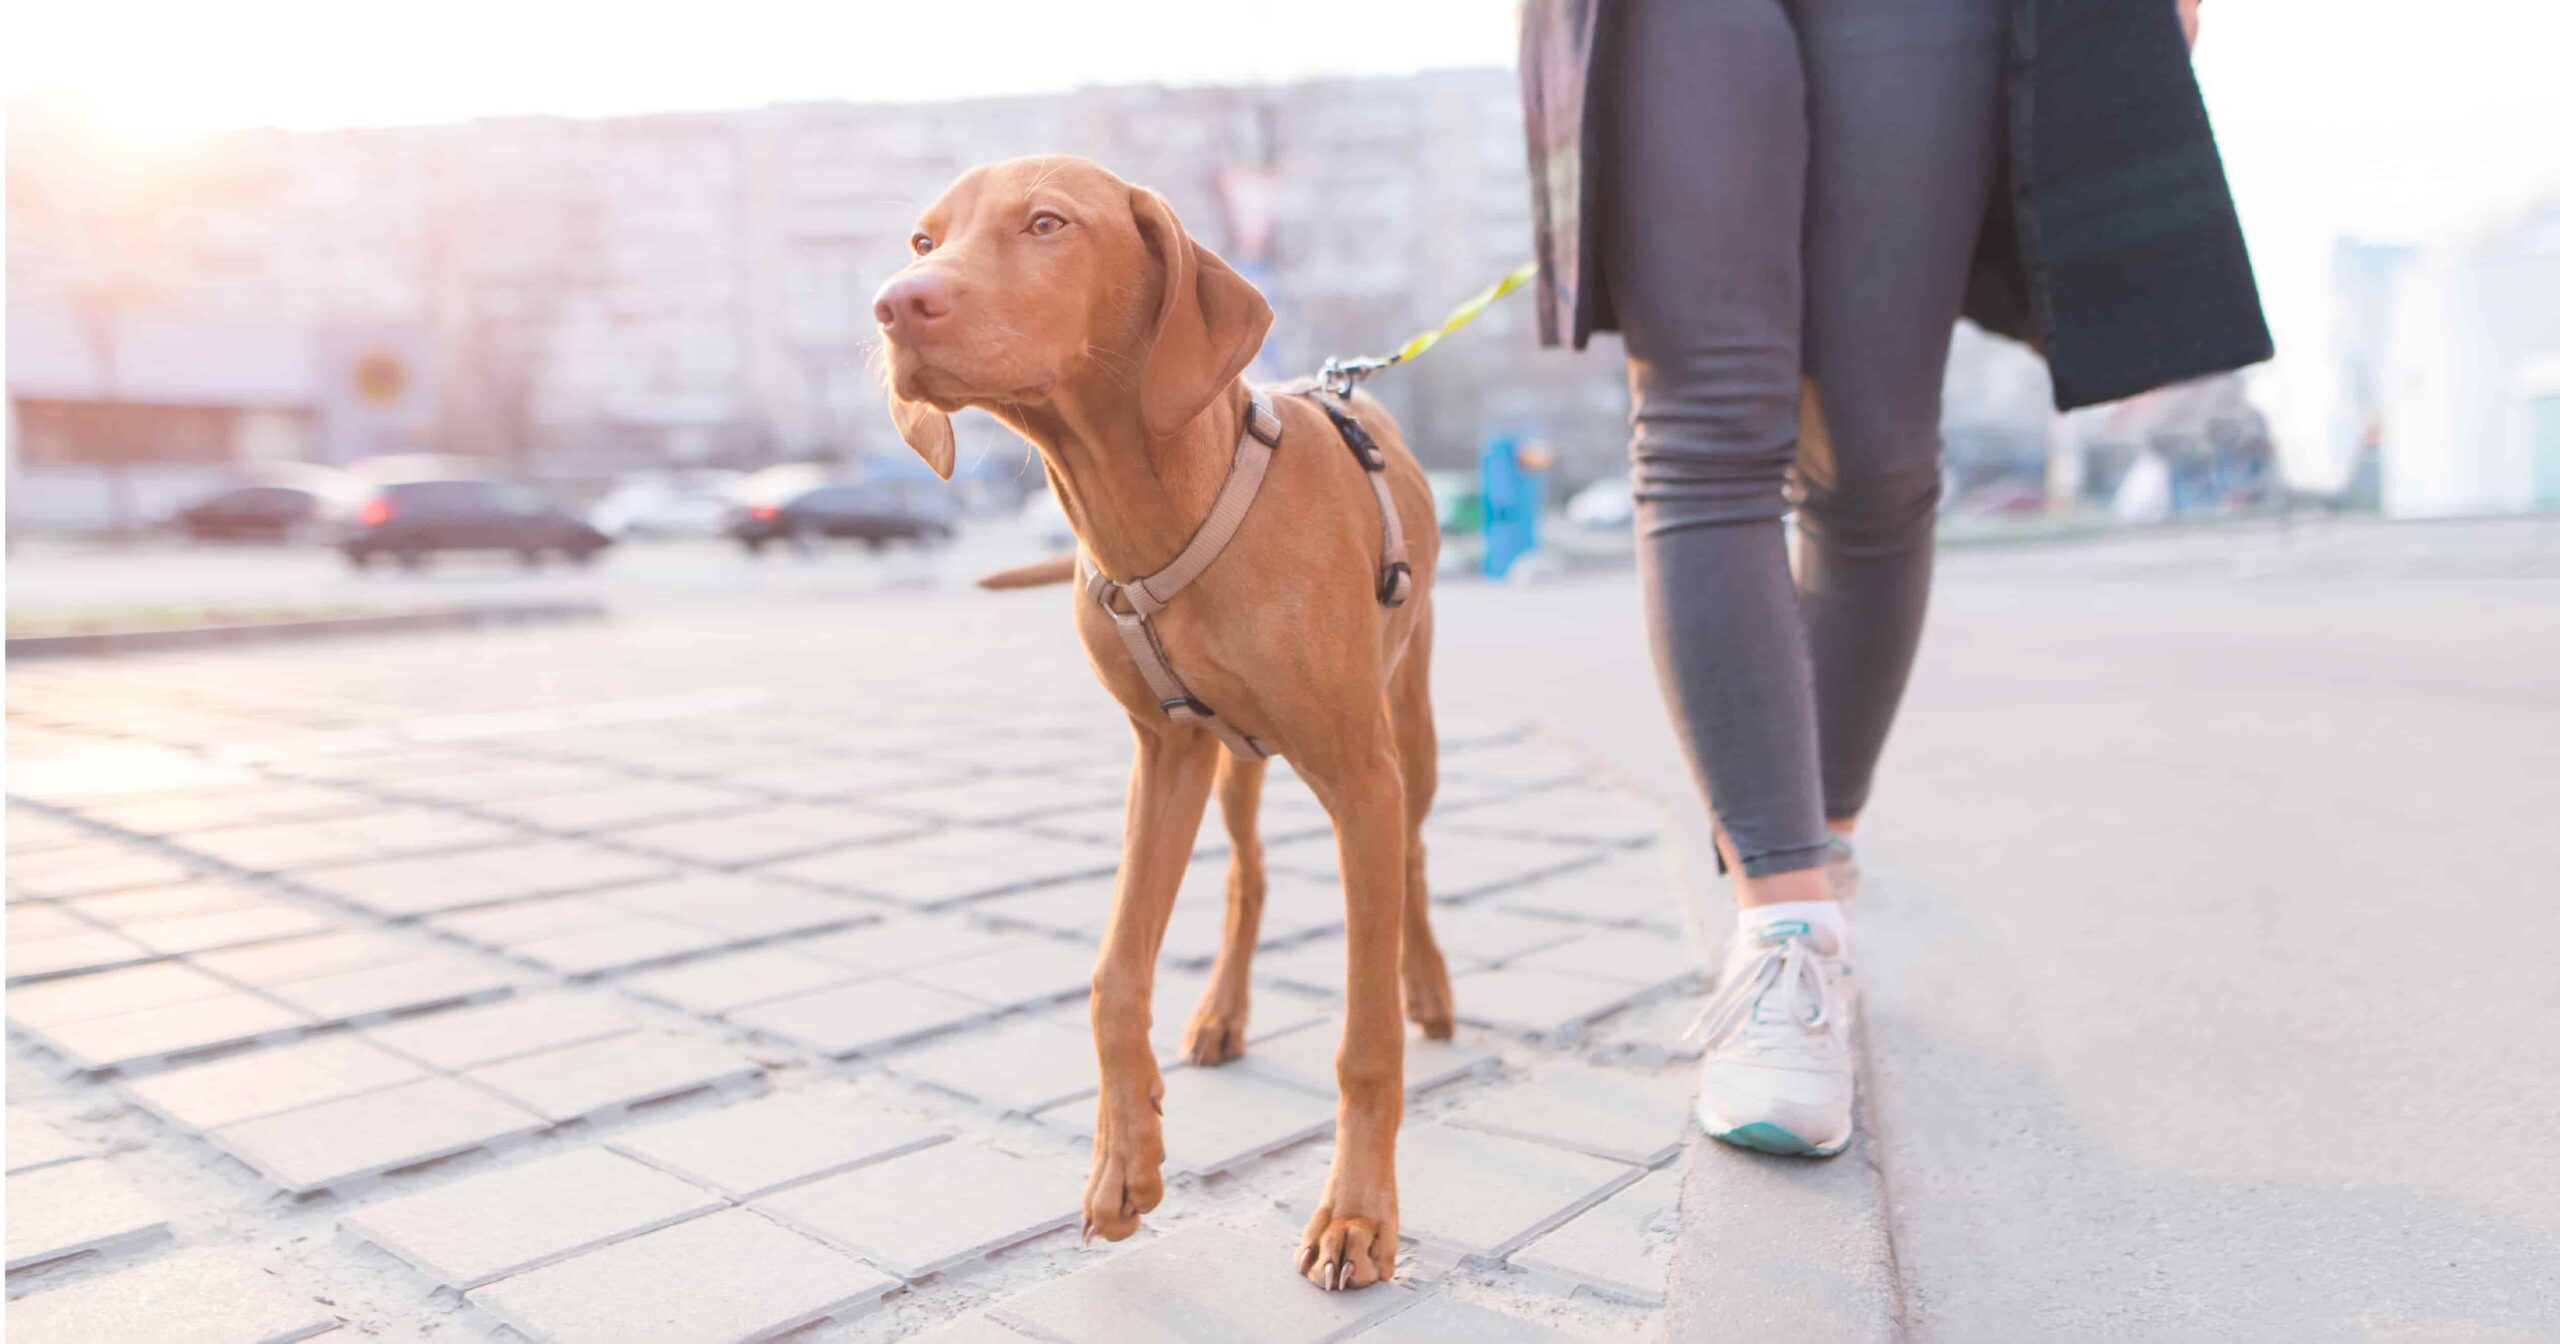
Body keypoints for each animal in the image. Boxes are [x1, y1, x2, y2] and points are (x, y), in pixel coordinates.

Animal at [875, 157, 1443, 1290]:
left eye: (1048, 224)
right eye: (923, 241)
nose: (894, 305)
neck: (1159, 510)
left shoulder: (1360, 777)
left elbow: (1364, 1041)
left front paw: (1358, 1217)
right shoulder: (1164, 754)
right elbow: (1112, 975)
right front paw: (1122, 1165)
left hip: (1410, 729)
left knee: (1409, 859)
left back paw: (1427, 986)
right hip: (1235, 767)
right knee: (1248, 876)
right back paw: (1223, 1012)